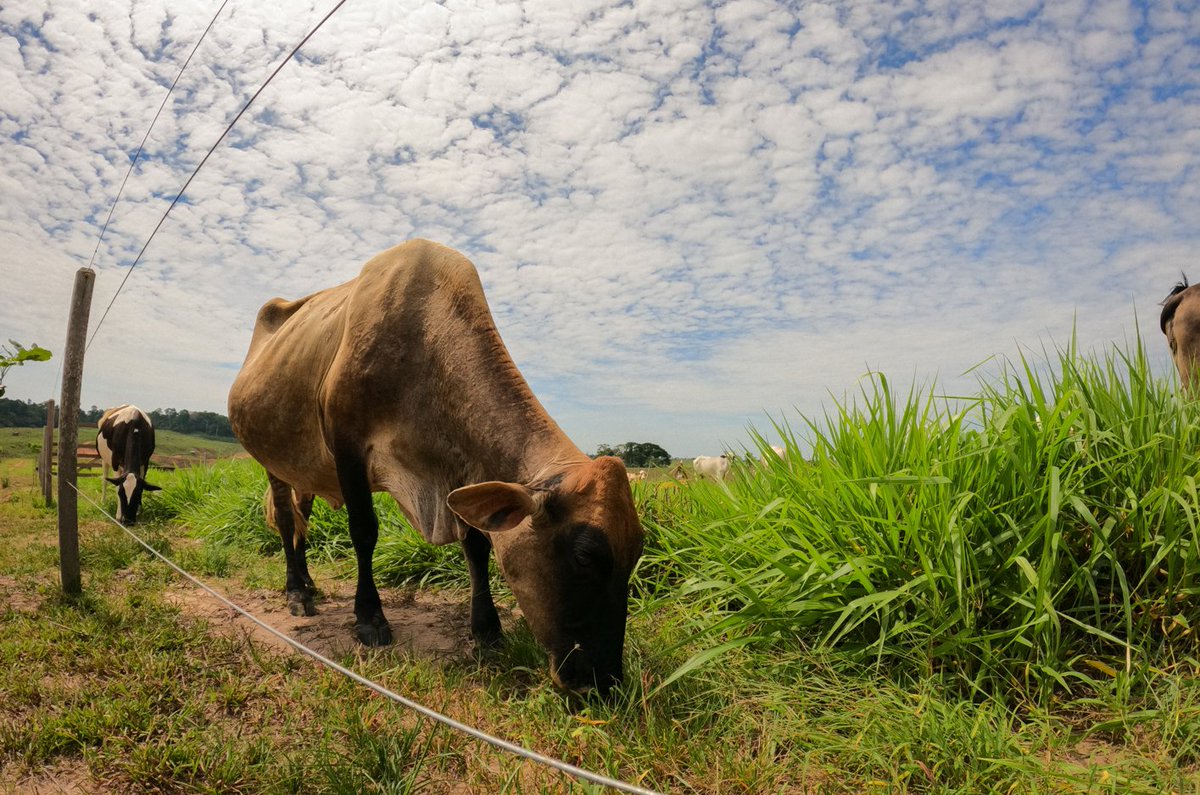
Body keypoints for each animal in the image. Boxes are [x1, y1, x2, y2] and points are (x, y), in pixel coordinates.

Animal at [227, 240, 645, 694]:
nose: (604, 683)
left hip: (303, 469)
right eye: (585, 556)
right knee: (288, 519)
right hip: (271, 458)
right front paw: (370, 618)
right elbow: (364, 531)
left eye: (637, 553)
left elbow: (477, 546)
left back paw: (308, 583)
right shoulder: (347, 445)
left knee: (301, 518)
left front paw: (487, 629)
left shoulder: (460, 469)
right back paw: (296, 593)